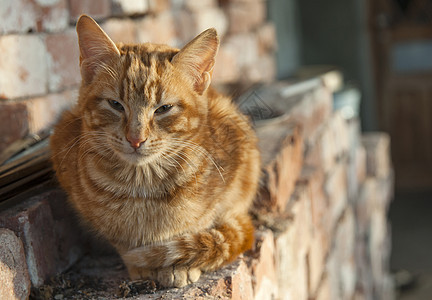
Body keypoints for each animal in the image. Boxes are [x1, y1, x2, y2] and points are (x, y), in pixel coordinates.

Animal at [50, 14, 260, 288]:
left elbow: (199, 225)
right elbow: (124, 243)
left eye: (163, 109)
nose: (135, 139)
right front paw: (140, 265)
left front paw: (179, 264)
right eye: (115, 104)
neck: (143, 187)